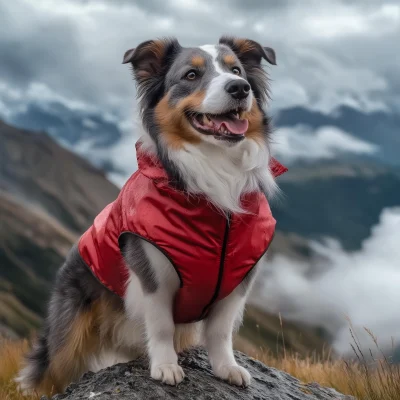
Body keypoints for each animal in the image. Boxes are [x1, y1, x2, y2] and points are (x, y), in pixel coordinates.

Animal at [16, 35, 284, 396]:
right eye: (190, 75)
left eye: (237, 70)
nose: (240, 88)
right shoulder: (153, 272)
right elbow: (160, 326)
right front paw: (166, 367)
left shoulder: (239, 279)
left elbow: (221, 331)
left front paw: (226, 368)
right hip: (69, 334)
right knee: (52, 371)